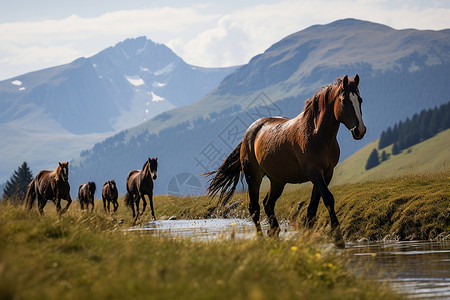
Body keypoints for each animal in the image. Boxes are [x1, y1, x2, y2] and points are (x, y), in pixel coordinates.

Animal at [207, 74, 366, 247]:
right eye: (344, 101)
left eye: (360, 100)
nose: (359, 130)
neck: (318, 135)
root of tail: (249, 133)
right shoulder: (315, 173)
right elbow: (328, 199)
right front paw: (338, 238)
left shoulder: (326, 173)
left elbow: (313, 207)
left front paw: (308, 235)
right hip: (253, 177)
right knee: (254, 208)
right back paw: (261, 237)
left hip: (278, 181)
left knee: (268, 204)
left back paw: (274, 231)